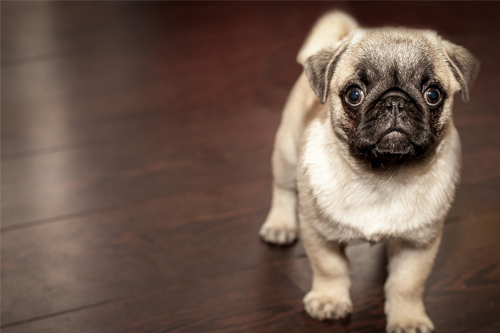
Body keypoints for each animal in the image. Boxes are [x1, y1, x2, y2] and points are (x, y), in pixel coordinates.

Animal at [260, 11, 478, 332]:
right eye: (354, 94)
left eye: (433, 94)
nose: (395, 101)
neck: (381, 174)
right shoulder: (319, 233)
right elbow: (330, 268)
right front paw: (329, 300)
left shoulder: (418, 244)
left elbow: (407, 284)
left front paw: (407, 318)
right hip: (287, 152)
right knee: (283, 189)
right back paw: (280, 225)